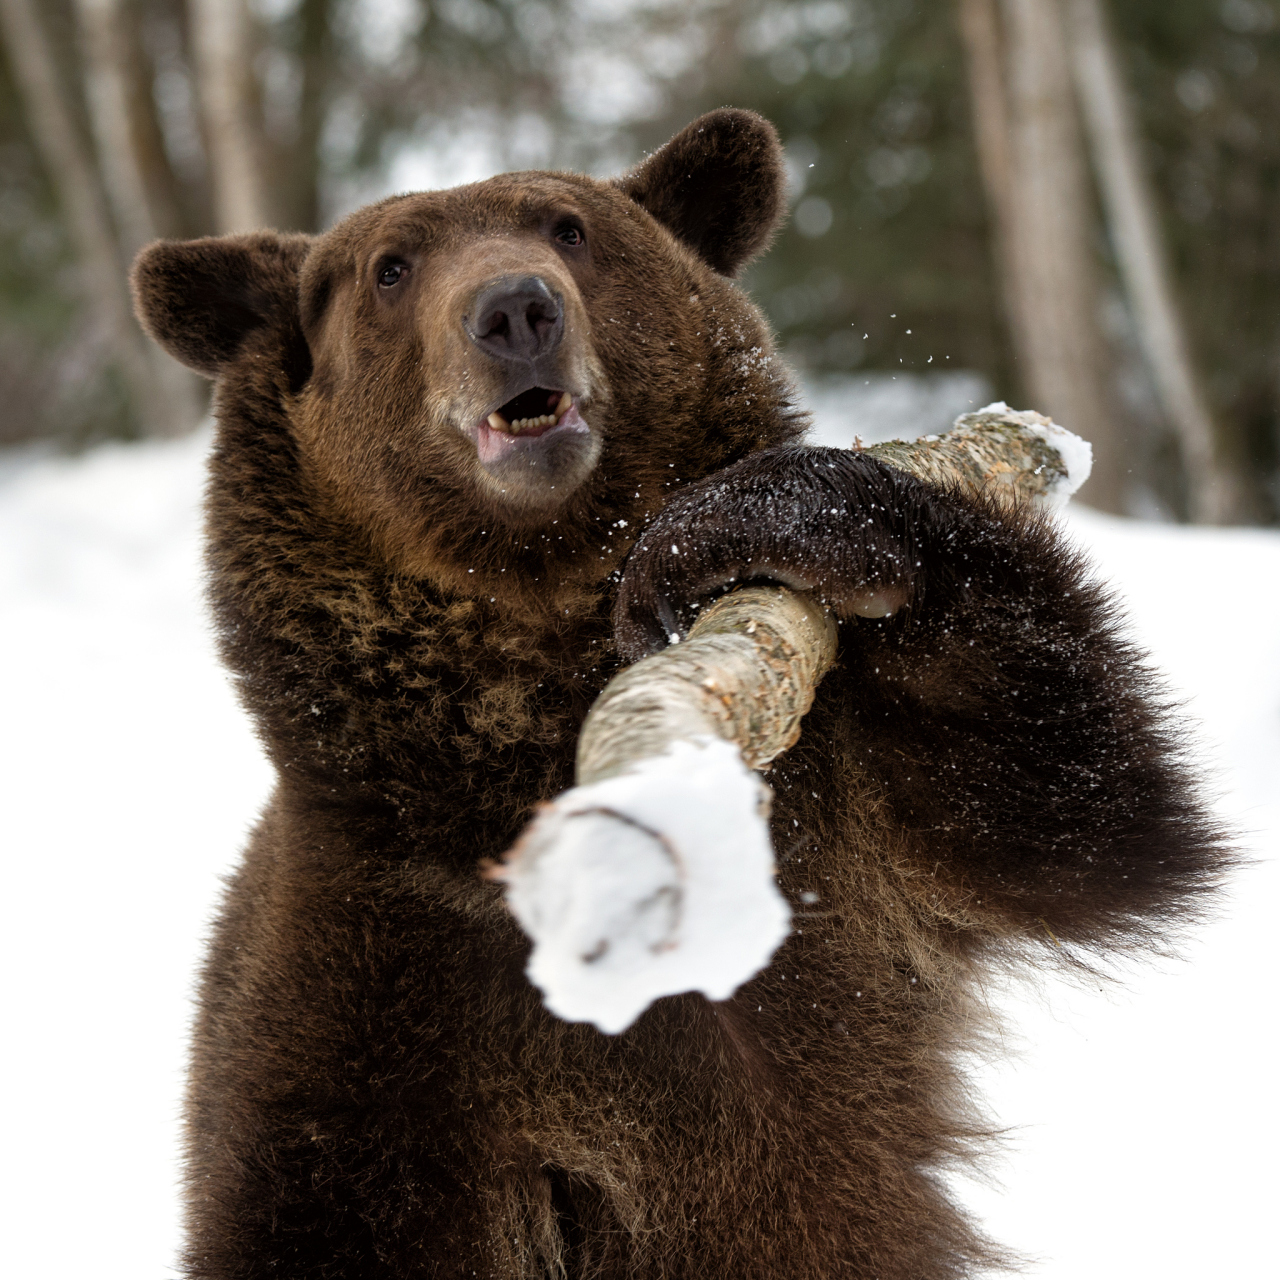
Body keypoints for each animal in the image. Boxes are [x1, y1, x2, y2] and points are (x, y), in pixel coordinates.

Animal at [135, 112, 1223, 1280]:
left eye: (568, 227)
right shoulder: (362, 1016)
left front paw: (762, 518)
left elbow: (1078, 809)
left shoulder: (840, 839)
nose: (514, 310)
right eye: (390, 267)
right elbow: (332, 1203)